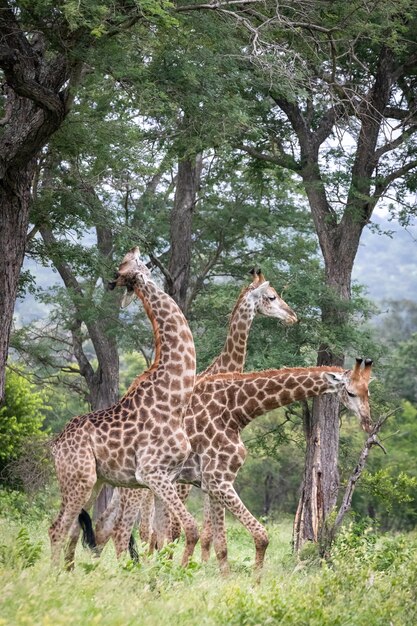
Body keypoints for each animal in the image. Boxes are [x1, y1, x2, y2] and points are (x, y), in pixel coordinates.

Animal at [48, 246, 197, 568]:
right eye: (127, 264)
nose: (134, 248)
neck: (177, 397)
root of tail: (55, 445)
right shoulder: (151, 473)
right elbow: (187, 529)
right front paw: (181, 572)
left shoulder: (166, 476)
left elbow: (165, 534)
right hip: (79, 478)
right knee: (58, 527)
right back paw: (52, 576)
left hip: (92, 481)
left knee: (72, 529)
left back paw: (69, 572)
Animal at [92, 266, 298, 552]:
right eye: (271, 296)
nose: (293, 316)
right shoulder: (193, 477)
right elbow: (178, 531)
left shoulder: (197, 478)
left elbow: (200, 532)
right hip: (140, 481)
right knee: (126, 528)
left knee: (111, 524)